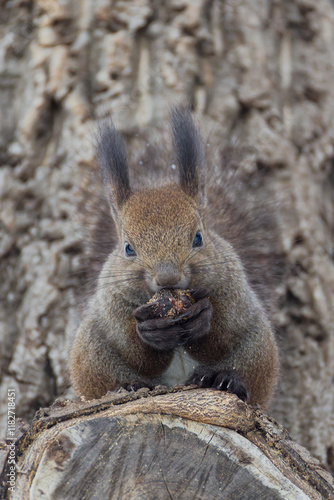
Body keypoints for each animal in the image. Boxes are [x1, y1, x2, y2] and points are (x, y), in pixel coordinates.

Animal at [69, 107, 280, 408]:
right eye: (128, 248)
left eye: (198, 237)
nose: (167, 277)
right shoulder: (112, 302)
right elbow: (137, 355)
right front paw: (150, 331)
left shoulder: (232, 286)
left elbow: (221, 338)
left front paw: (202, 317)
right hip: (91, 355)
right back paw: (129, 386)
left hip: (258, 346)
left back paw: (223, 379)